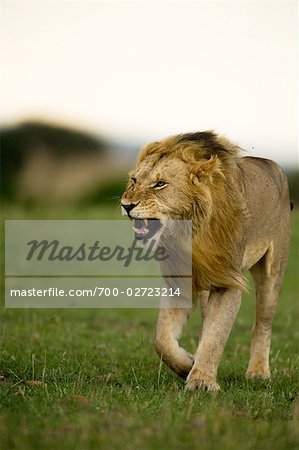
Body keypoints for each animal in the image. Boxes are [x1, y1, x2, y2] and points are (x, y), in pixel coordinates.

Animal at [120, 131, 292, 390]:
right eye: (133, 180)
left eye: (160, 184)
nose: (126, 205)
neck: (188, 231)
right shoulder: (179, 283)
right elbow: (162, 340)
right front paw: (188, 365)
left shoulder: (227, 282)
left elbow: (216, 335)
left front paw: (201, 381)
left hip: (272, 272)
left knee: (262, 323)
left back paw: (258, 372)